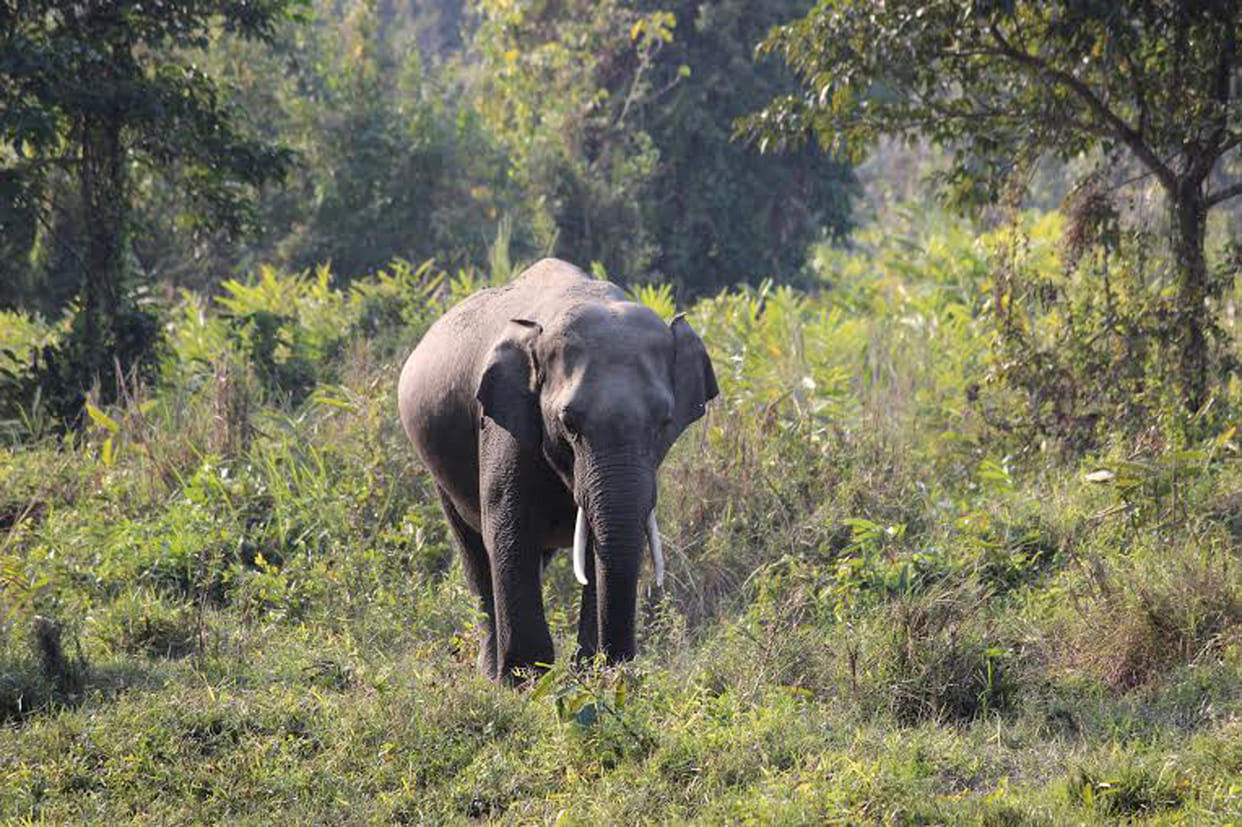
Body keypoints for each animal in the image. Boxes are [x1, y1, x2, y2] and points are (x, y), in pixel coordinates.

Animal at [397, 258, 718, 682]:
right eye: (569, 422)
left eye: (663, 422)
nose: (620, 664)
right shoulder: (504, 422)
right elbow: (509, 530)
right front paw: (526, 680)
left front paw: (590, 676)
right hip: (439, 473)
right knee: (475, 551)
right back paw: (490, 673)